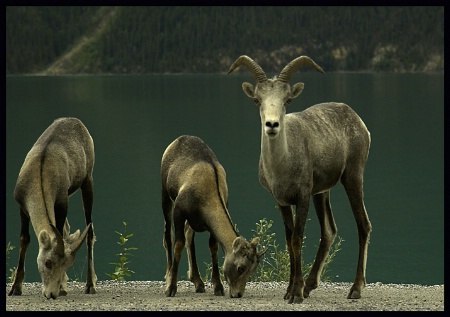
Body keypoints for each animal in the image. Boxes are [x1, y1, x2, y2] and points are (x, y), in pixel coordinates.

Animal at [7, 117, 96, 298]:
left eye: (67, 264)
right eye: (48, 262)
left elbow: (60, 232)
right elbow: (24, 240)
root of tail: (78, 122)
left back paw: (90, 286)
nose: (51, 294)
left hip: (88, 178)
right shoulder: (22, 207)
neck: (39, 176)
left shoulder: (61, 203)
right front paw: (15, 289)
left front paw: (62, 287)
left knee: (90, 231)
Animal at [162, 135, 268, 298]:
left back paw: (198, 282)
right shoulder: (179, 210)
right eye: (240, 268)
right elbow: (178, 244)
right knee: (167, 235)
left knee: (188, 234)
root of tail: (177, 140)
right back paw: (168, 277)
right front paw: (171, 288)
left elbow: (213, 246)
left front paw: (218, 287)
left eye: (253, 269)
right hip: (165, 194)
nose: (238, 294)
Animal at [229, 55, 372, 302]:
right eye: (257, 100)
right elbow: (289, 242)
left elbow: (297, 240)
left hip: (352, 178)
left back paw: (355, 289)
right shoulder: (283, 201)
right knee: (329, 231)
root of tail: (359, 122)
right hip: (322, 193)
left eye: (287, 100)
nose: (272, 125)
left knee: (363, 225)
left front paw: (295, 294)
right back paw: (310, 286)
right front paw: (290, 291)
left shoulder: (302, 197)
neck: (282, 166)